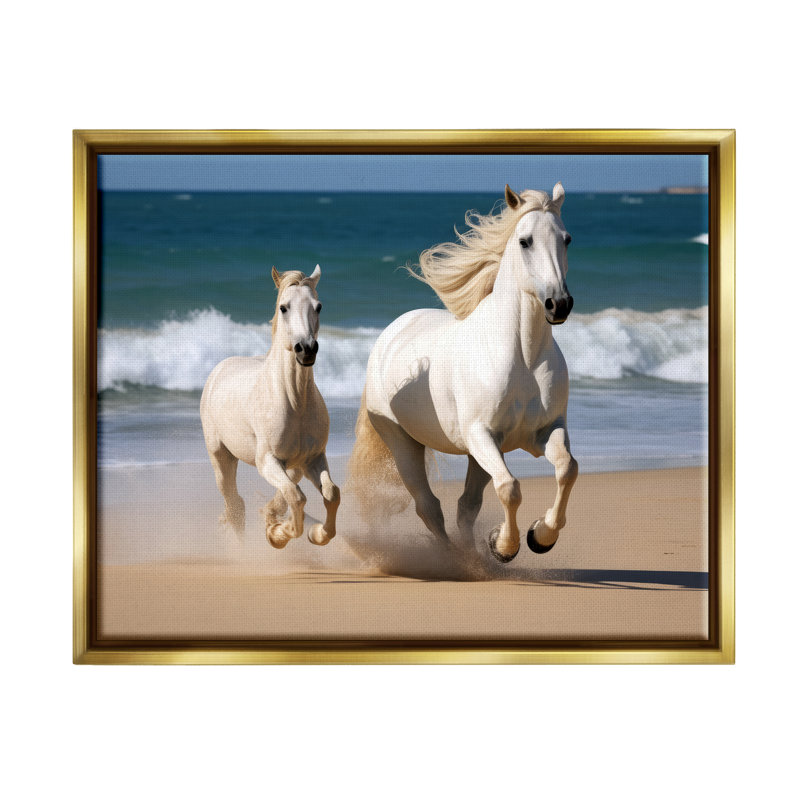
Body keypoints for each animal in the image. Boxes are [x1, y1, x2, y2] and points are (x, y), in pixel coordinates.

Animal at [200, 265, 340, 549]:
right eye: (284, 307)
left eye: (318, 306)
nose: (306, 349)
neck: (295, 403)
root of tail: (219, 368)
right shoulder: (267, 461)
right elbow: (296, 497)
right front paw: (277, 534)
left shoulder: (313, 458)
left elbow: (331, 493)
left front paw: (315, 533)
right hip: (221, 457)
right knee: (235, 505)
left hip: (295, 466)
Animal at [349, 184, 578, 563]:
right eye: (525, 241)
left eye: (567, 239)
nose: (558, 304)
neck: (523, 360)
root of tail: (390, 333)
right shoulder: (481, 435)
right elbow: (510, 488)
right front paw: (504, 546)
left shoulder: (545, 431)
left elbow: (567, 469)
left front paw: (539, 537)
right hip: (403, 443)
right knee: (429, 507)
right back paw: (456, 562)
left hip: (475, 455)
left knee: (465, 506)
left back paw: (474, 558)